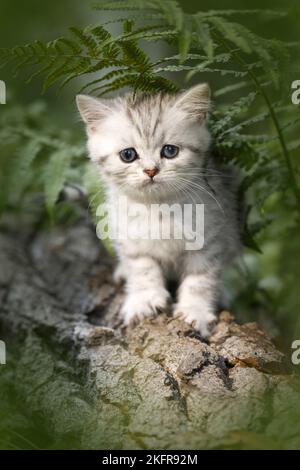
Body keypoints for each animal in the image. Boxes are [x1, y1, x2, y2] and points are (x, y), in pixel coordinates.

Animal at [77, 83, 241, 334]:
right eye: (128, 155)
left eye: (170, 151)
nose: (151, 170)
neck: (159, 208)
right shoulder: (130, 239)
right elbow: (142, 269)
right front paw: (144, 300)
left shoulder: (211, 238)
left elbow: (200, 279)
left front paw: (195, 311)